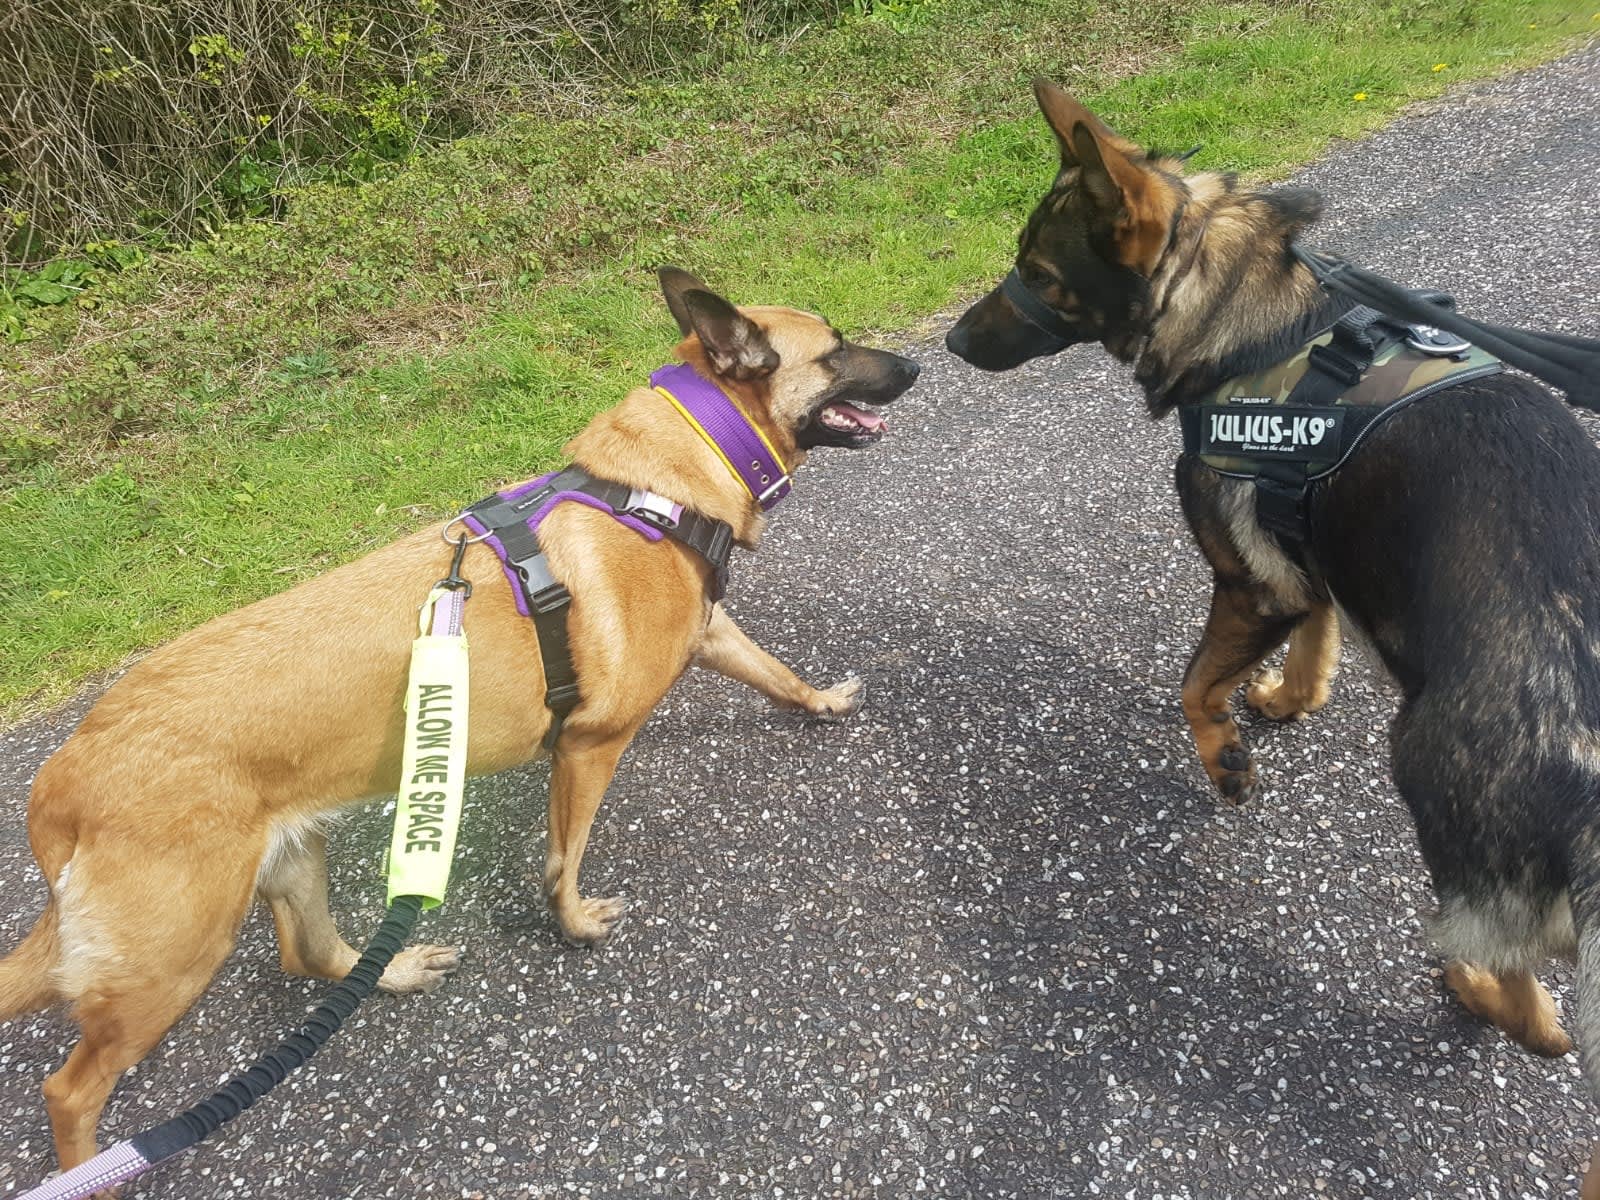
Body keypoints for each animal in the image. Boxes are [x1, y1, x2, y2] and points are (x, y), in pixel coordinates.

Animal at [0, 267, 921, 1177]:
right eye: (835, 350)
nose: (916, 366)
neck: (661, 480)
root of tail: (65, 773)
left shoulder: (711, 635)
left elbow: (776, 674)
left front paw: (821, 703)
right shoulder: (590, 746)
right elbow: (561, 862)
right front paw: (575, 927)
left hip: (292, 860)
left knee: (311, 953)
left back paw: (397, 971)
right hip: (175, 959)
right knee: (70, 1091)